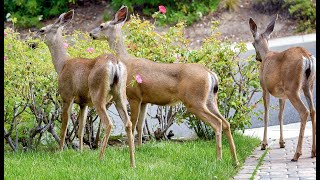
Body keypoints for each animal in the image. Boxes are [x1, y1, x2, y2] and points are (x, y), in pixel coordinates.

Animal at [37, 9, 135, 167]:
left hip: (98, 93)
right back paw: (132, 163)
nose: (32, 42)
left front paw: (60, 151)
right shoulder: (83, 103)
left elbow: (64, 125)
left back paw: (100, 159)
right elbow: (81, 127)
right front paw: (81, 152)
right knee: (128, 123)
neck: (62, 65)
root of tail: (114, 62)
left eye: (42, 30)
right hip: (119, 93)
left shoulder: (67, 95)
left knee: (108, 123)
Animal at [89, 5, 239, 165]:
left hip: (194, 100)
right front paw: (140, 148)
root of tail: (210, 74)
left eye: (102, 25)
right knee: (226, 122)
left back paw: (219, 158)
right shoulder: (144, 100)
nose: (91, 33)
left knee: (217, 123)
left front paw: (132, 149)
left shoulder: (134, 95)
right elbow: (140, 125)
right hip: (210, 99)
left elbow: (133, 124)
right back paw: (234, 160)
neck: (126, 61)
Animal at [249, 15, 316, 162]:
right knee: (313, 110)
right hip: (308, 86)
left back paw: (297, 154)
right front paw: (281, 142)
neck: (267, 54)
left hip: (293, 88)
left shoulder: (264, 88)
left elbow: (266, 115)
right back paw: (313, 152)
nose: (257, 58)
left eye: (252, 43)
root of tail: (306, 57)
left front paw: (264, 144)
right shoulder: (282, 95)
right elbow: (280, 115)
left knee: (304, 111)